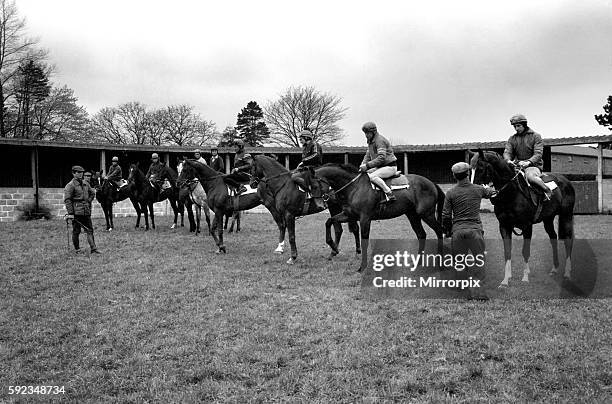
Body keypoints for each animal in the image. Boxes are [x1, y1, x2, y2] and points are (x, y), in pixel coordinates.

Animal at [310, 163, 444, 272]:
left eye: (314, 186)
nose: (319, 204)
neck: (354, 187)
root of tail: (431, 183)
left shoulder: (365, 219)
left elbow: (364, 241)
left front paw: (362, 267)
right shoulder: (349, 215)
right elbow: (329, 221)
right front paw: (333, 246)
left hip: (427, 214)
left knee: (439, 231)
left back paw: (440, 262)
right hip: (413, 216)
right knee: (421, 235)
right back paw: (419, 262)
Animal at [470, 150, 576, 286]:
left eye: (481, 168)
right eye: (470, 169)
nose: (472, 189)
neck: (512, 193)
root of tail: (566, 181)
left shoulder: (527, 227)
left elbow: (525, 251)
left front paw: (525, 277)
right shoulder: (504, 226)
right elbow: (507, 251)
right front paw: (506, 279)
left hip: (566, 216)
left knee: (568, 241)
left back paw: (567, 273)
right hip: (548, 219)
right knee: (553, 238)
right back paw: (554, 268)